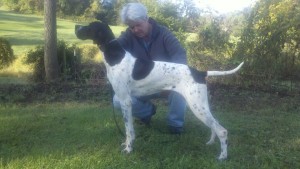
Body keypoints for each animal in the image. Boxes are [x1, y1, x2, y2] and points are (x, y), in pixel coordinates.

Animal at [75, 21, 244, 160]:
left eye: (90, 26)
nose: (76, 27)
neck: (117, 56)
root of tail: (200, 72)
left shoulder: (125, 101)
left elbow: (129, 130)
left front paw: (129, 149)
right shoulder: (124, 100)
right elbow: (129, 130)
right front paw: (126, 144)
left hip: (197, 106)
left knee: (222, 130)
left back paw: (222, 156)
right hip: (201, 105)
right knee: (215, 125)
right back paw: (210, 142)